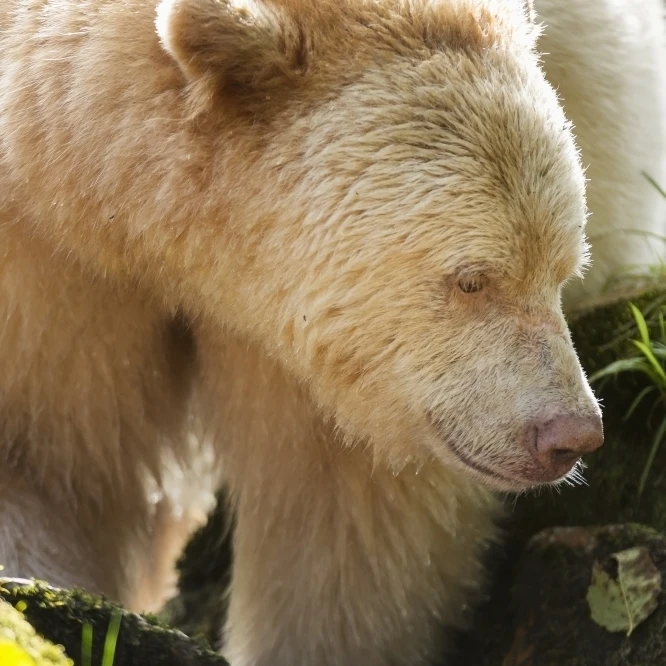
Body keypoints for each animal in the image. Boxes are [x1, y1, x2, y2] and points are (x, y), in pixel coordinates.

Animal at [0, 0, 660, 664]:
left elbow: (340, 524)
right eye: (473, 280)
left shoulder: (343, 364)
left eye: (561, 269)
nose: (571, 435)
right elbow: (44, 464)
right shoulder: (45, 260)